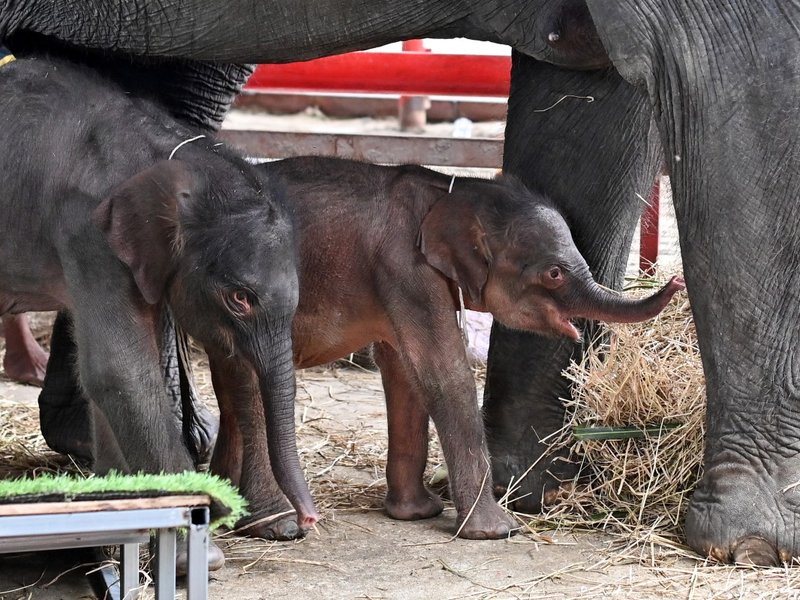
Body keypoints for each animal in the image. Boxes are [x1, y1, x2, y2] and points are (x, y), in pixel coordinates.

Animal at [0, 55, 318, 533]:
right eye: (239, 299)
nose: (309, 520)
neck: (171, 153)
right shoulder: (88, 234)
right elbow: (120, 371)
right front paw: (199, 517)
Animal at [208, 156, 684, 540]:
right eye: (553, 273)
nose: (677, 281)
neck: (453, 190)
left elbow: (403, 370)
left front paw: (416, 514)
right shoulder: (405, 268)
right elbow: (443, 371)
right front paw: (497, 532)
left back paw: (218, 509)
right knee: (248, 385)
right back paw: (275, 526)